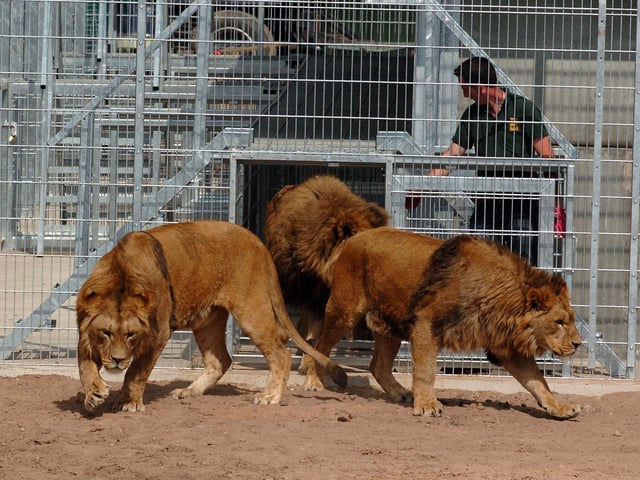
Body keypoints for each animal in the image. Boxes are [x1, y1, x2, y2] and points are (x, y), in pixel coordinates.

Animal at [76, 220, 347, 413]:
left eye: (131, 334)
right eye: (106, 332)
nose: (117, 360)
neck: (121, 275)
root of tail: (257, 241)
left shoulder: (158, 333)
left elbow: (136, 371)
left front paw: (129, 401)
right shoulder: (85, 332)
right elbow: (85, 366)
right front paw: (94, 394)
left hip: (251, 310)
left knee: (281, 353)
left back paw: (270, 396)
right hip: (207, 321)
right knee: (220, 360)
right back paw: (189, 391)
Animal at [302, 228, 583, 419]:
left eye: (570, 320)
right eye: (559, 322)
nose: (578, 344)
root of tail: (354, 237)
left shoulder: (508, 347)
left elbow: (537, 381)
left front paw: (559, 407)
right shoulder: (426, 324)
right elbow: (426, 370)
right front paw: (427, 405)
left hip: (389, 324)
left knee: (377, 366)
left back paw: (401, 393)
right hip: (345, 310)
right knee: (320, 343)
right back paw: (315, 381)